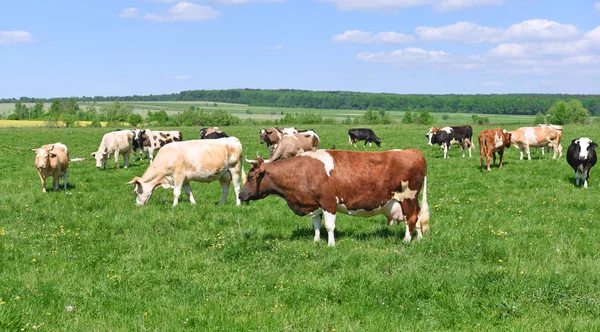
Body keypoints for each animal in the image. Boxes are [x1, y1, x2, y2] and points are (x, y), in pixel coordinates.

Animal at [240, 149, 432, 245]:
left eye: (250, 177)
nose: (241, 195)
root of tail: (415, 152)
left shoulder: (328, 202)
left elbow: (329, 226)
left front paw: (331, 244)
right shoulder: (314, 203)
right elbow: (316, 224)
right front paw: (316, 240)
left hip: (407, 197)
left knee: (411, 218)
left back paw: (406, 240)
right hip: (412, 200)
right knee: (417, 217)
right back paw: (418, 238)